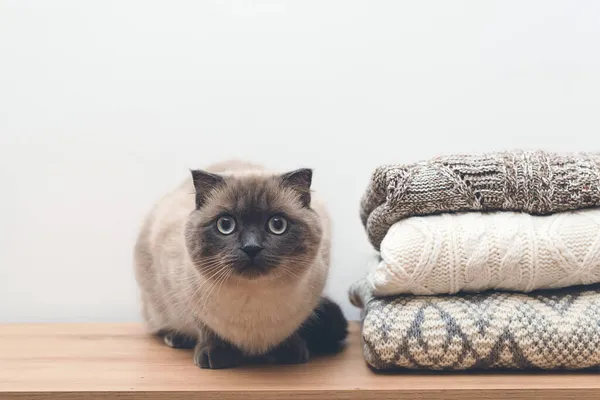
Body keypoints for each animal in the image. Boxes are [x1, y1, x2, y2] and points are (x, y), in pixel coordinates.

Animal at [133, 159, 344, 368]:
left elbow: (292, 330)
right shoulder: (185, 296)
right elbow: (206, 329)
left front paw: (289, 351)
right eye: (225, 225)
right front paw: (214, 355)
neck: (253, 299)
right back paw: (176, 339)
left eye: (277, 225)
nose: (251, 247)